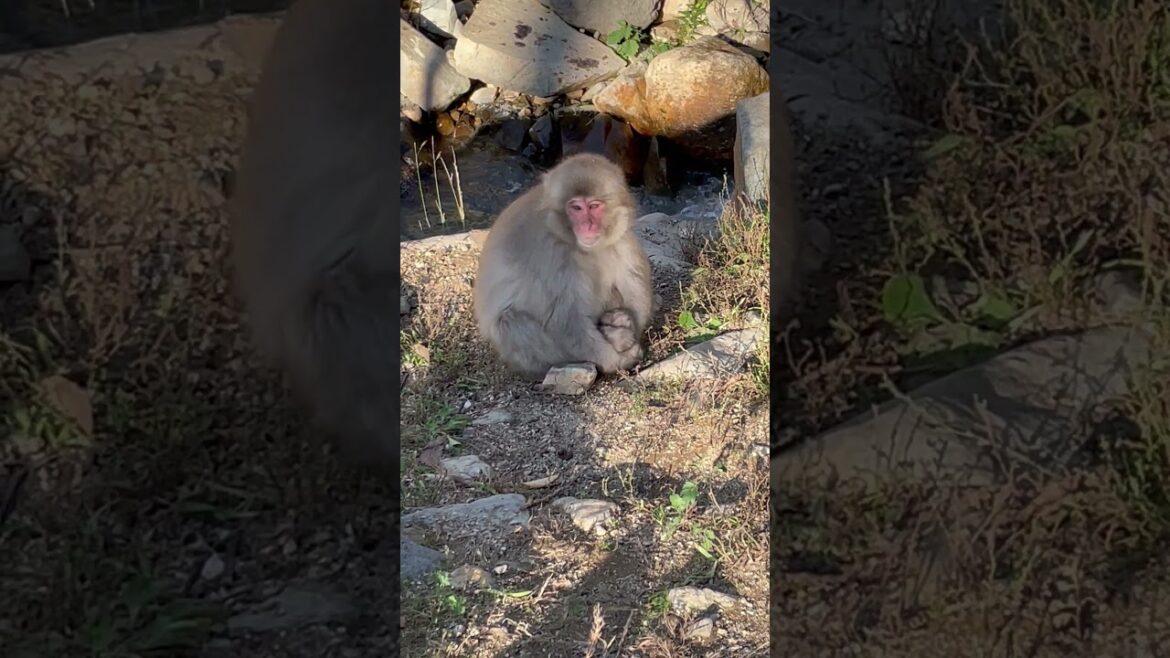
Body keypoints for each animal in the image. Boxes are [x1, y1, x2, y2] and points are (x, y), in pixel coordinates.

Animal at [472, 153, 654, 380]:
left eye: (594, 206)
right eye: (576, 208)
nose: (587, 226)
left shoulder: (623, 240)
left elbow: (635, 294)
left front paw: (626, 322)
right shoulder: (550, 255)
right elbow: (564, 322)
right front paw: (617, 360)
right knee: (510, 323)